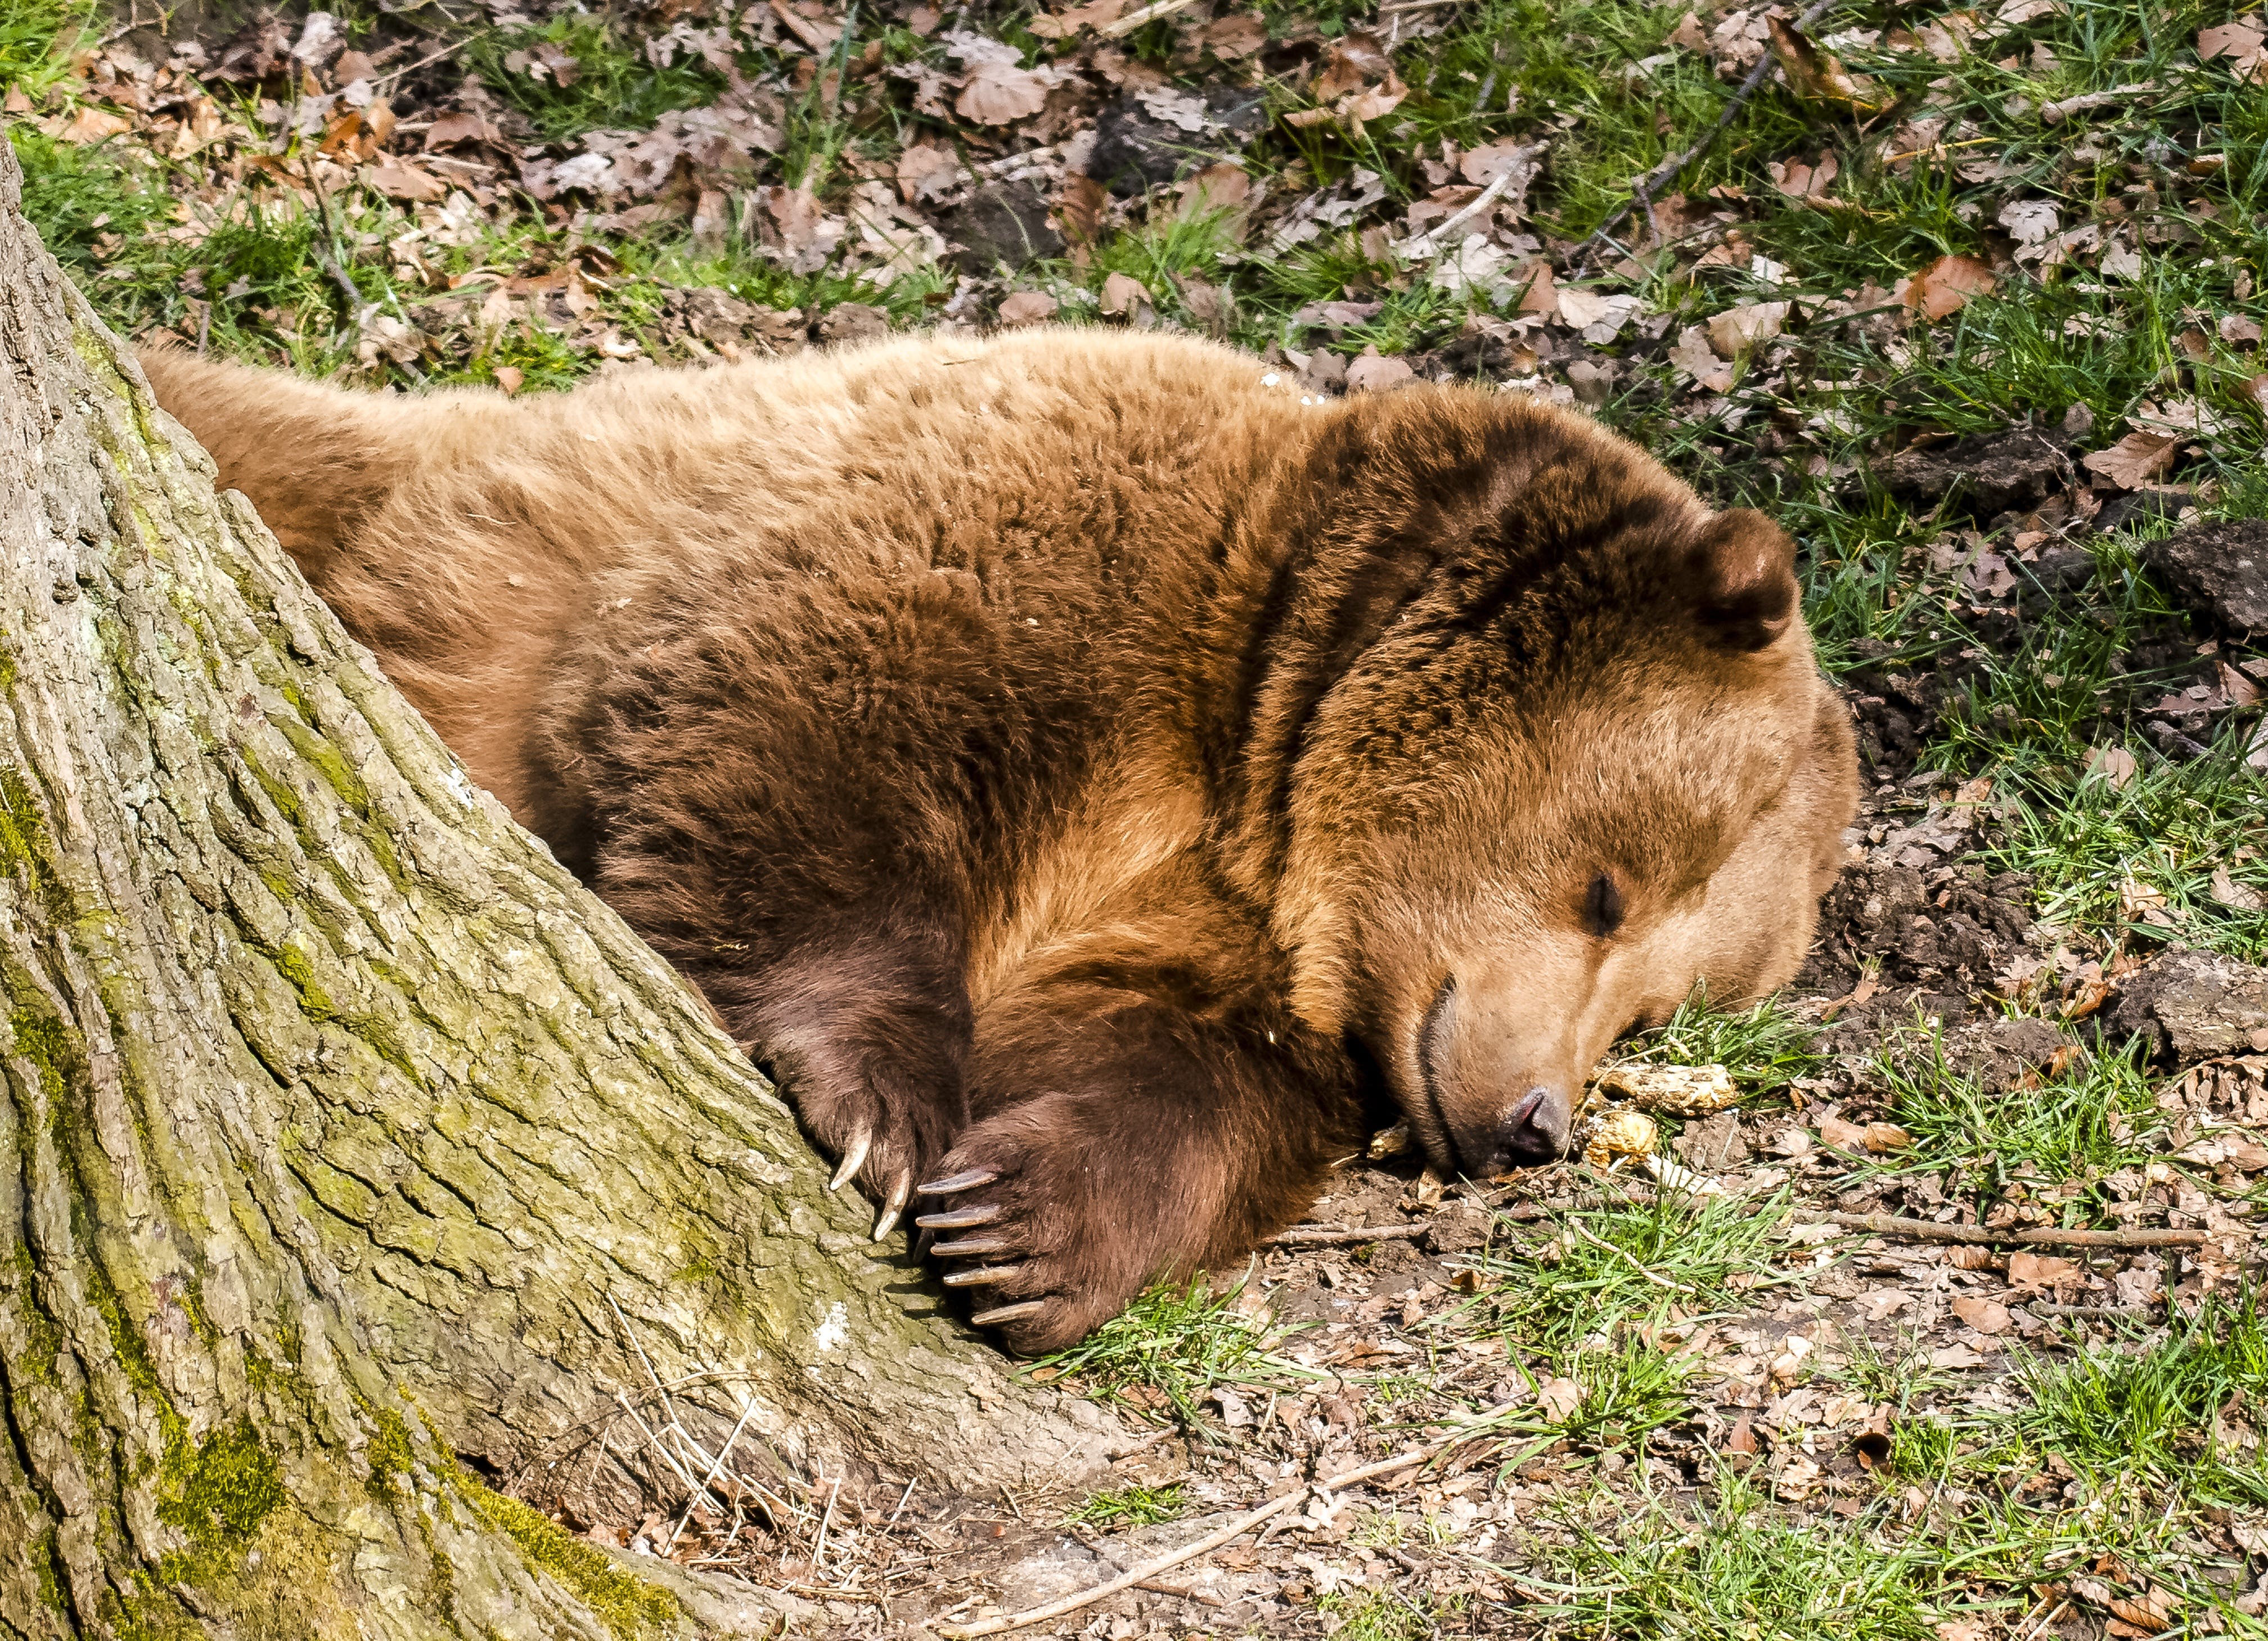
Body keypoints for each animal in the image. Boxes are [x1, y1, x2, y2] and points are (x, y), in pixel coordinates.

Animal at [137, 326, 1841, 1352]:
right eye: (1608, 884)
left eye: (1661, 1004)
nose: (1533, 1120)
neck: (1261, 736)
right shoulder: (1032, 557)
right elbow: (810, 736)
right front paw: (882, 1108)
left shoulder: (1222, 935)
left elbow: (1172, 1071)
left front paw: (1019, 1229)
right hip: (344, 495)